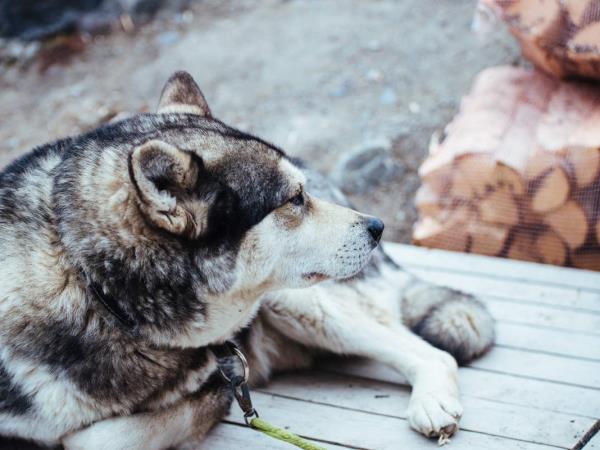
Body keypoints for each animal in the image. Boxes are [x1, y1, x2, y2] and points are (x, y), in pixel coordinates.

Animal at [0, 72, 492, 448]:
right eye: (294, 199)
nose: (377, 226)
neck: (97, 293)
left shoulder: (220, 388)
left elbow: (94, 437)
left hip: (298, 303)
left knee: (431, 354)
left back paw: (431, 403)